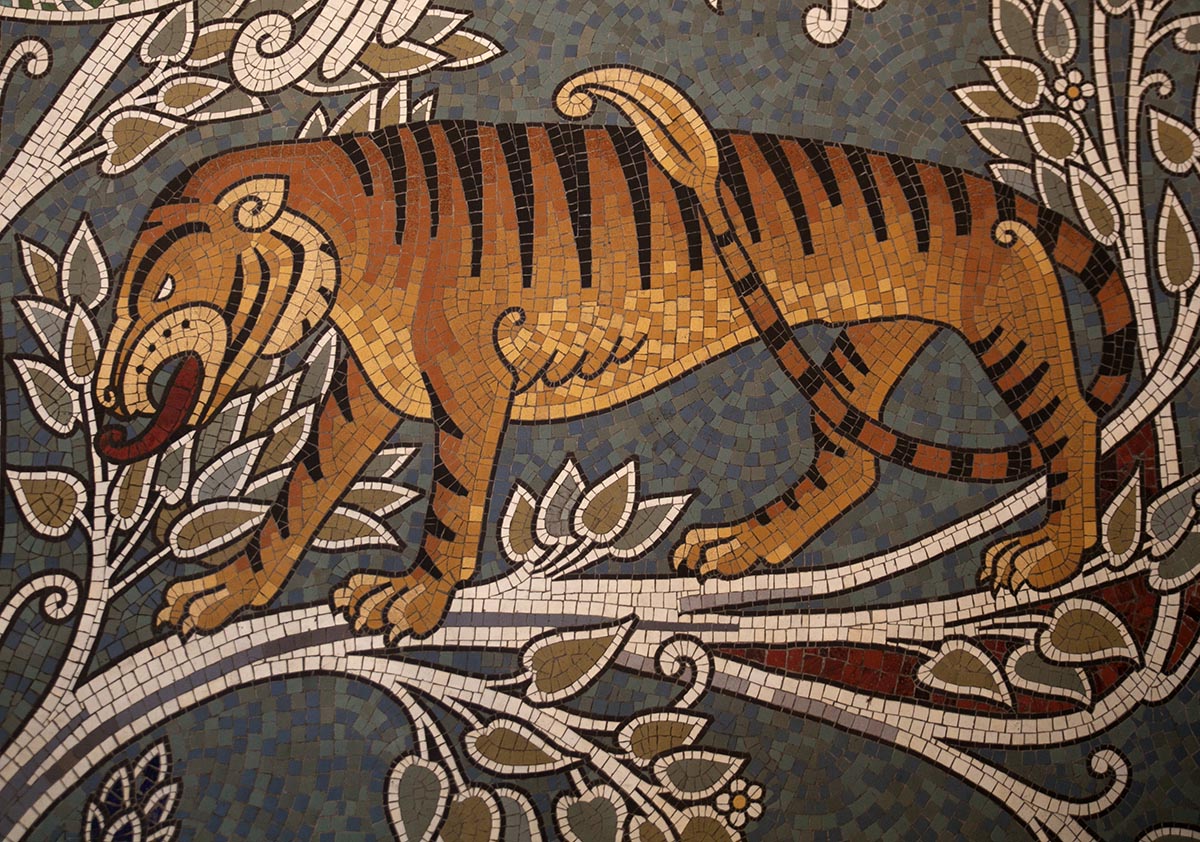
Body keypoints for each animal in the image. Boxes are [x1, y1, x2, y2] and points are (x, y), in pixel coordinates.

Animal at [92, 67, 1136, 642]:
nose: (102, 398)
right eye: (128, 288)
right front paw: (226, 593)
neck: (347, 226)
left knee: (1075, 423)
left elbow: (451, 504)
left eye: (162, 289)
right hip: (866, 346)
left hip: (1005, 323)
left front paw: (414, 602)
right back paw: (739, 545)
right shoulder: (369, 390)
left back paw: (1051, 556)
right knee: (849, 469)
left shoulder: (470, 382)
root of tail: (987, 190)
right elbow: (299, 496)